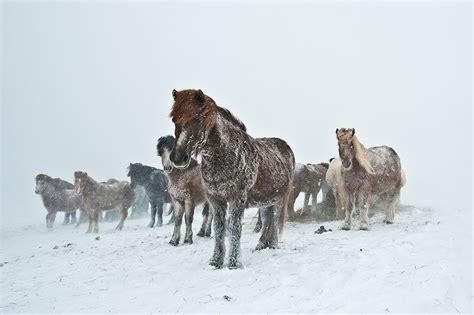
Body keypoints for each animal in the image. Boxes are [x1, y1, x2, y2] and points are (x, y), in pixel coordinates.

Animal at [168, 89, 294, 270]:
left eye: (198, 118)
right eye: (174, 120)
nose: (177, 158)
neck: (225, 154)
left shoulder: (237, 199)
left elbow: (234, 228)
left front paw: (234, 263)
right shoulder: (215, 200)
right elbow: (219, 229)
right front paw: (215, 262)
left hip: (279, 199)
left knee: (275, 219)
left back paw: (274, 245)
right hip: (265, 201)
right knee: (265, 219)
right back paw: (261, 245)